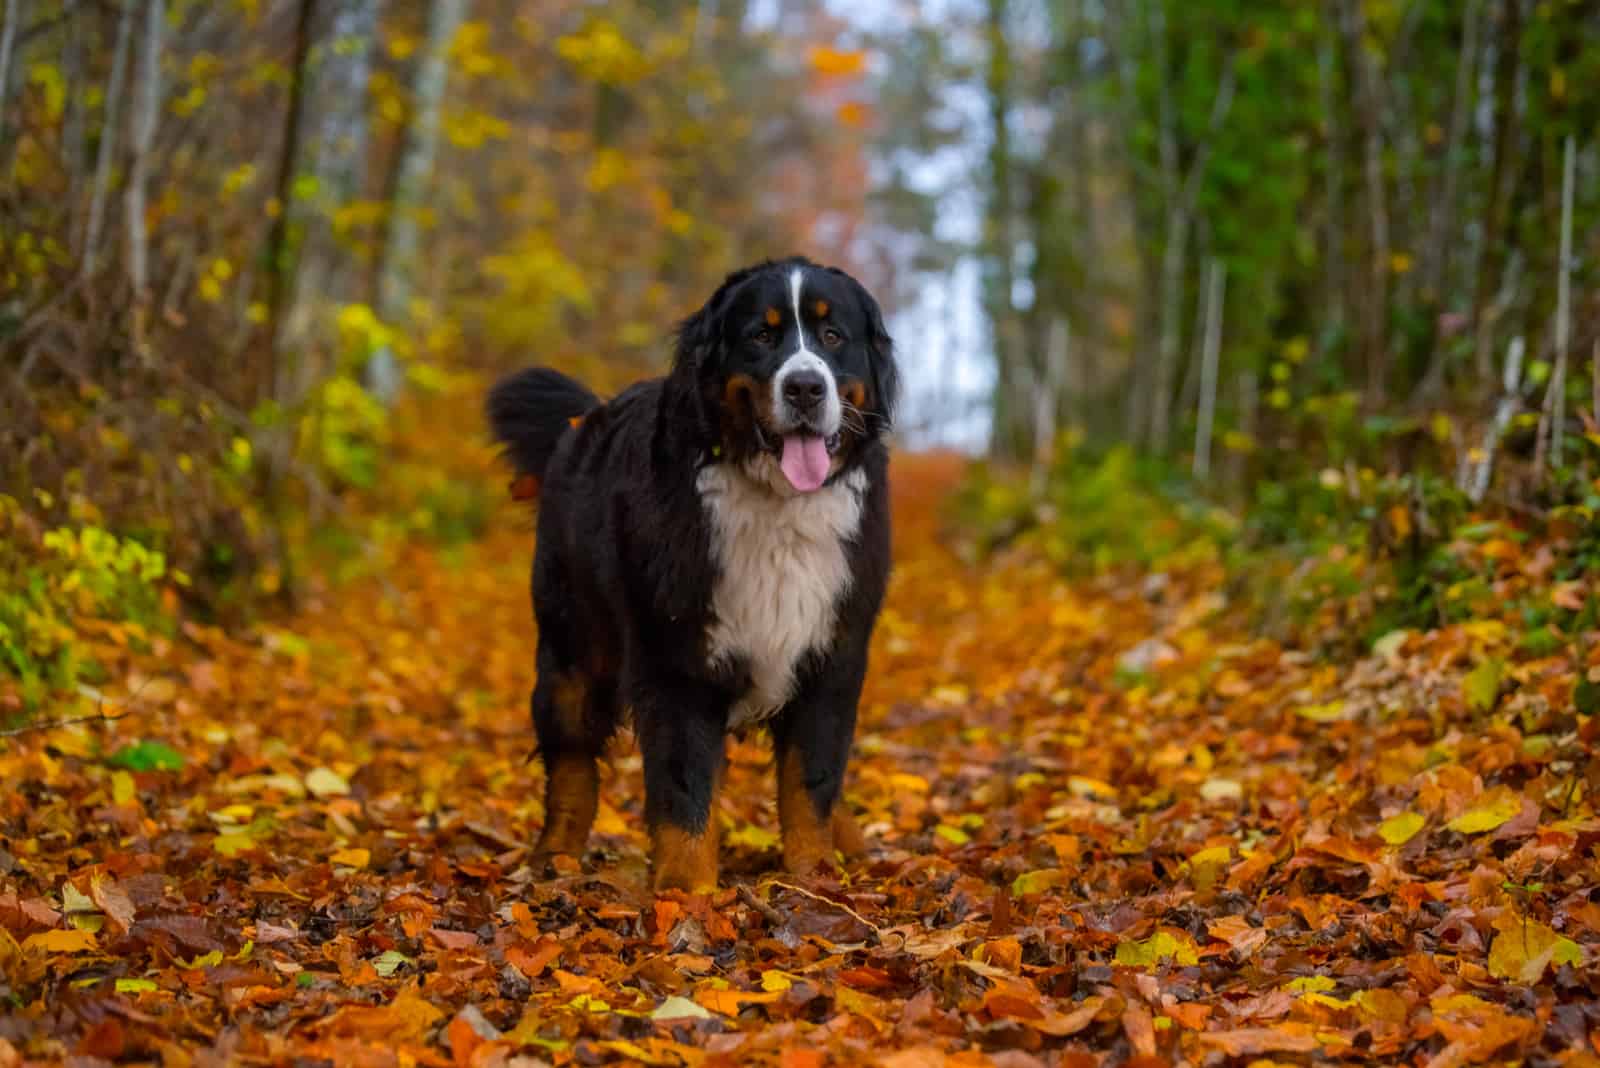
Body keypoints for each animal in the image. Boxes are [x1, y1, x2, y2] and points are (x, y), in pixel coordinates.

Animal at [486, 254, 896, 888]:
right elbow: (685, 788)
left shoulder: (834, 655)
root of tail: (583, 420)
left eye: (833, 336)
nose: (805, 386)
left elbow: (812, 780)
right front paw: (685, 891)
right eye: (761, 336)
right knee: (572, 766)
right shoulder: (675, 655)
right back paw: (553, 858)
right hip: (571, 653)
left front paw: (814, 878)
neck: (778, 506)